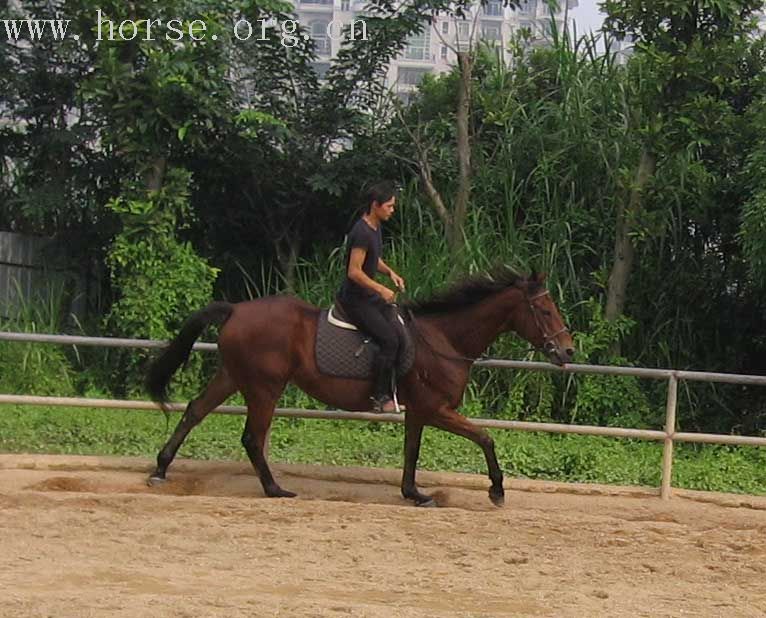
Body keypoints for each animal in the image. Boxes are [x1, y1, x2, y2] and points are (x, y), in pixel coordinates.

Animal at [147, 268, 572, 506]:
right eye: (545, 310)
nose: (567, 350)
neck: (444, 340)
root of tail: (236, 309)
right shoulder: (437, 409)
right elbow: (485, 437)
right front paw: (497, 490)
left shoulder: (418, 411)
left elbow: (412, 451)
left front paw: (414, 494)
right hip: (265, 387)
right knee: (252, 437)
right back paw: (274, 489)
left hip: (234, 376)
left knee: (195, 411)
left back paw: (161, 469)